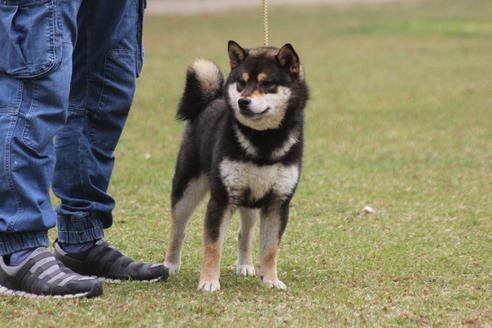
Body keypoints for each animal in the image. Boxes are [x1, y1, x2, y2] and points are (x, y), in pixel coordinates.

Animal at [167, 41, 310, 292]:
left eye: (267, 84)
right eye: (241, 84)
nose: (242, 101)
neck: (264, 140)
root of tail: (211, 101)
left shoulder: (277, 203)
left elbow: (270, 249)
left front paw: (270, 280)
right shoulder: (221, 200)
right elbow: (213, 246)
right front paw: (209, 281)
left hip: (250, 203)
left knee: (245, 233)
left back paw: (245, 265)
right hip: (187, 191)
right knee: (178, 229)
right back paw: (170, 264)